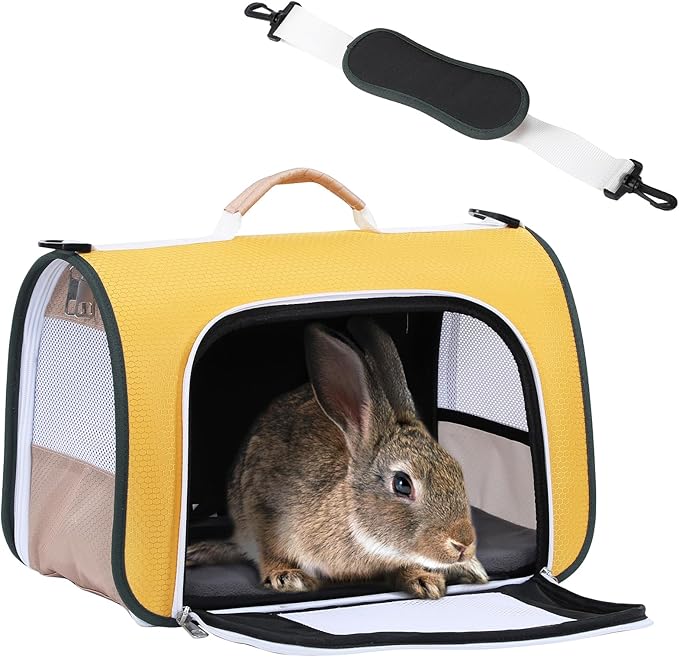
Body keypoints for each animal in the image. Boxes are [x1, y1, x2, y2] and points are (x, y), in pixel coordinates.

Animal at [186, 318, 488, 599]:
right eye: (402, 484)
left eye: (458, 471)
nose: (463, 544)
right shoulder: (263, 509)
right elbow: (270, 551)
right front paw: (287, 577)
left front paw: (425, 579)